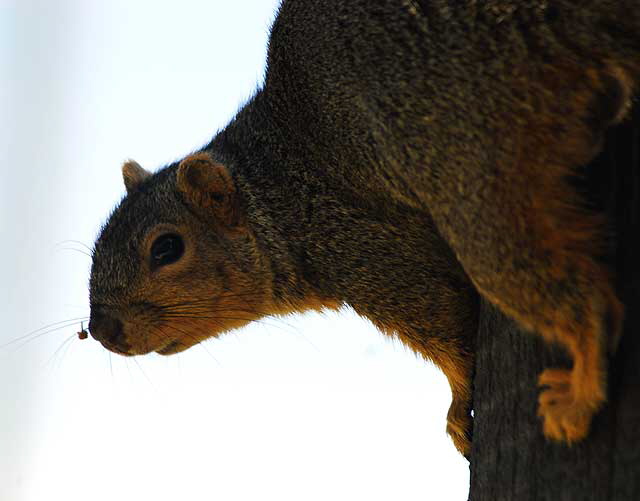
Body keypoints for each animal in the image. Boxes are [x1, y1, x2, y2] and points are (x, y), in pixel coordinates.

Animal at [86, 0, 640, 456]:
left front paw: (458, 408)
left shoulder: (366, 247)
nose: (102, 331)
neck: (275, 191)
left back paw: (580, 391)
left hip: (469, 155)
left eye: (167, 248)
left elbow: (450, 322)